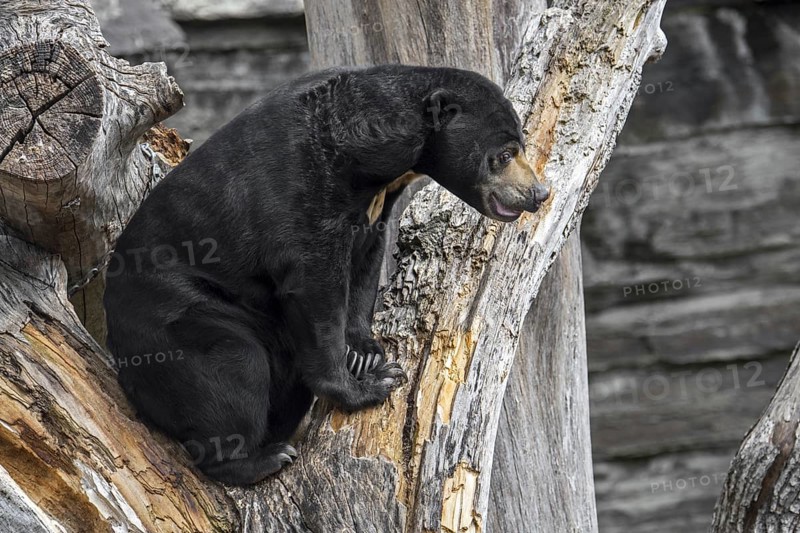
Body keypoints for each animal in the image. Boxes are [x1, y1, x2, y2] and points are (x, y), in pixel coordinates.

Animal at [103, 64, 550, 486]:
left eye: (519, 148)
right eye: (505, 154)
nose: (538, 194)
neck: (368, 156)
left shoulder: (374, 208)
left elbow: (366, 265)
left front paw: (365, 351)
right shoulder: (301, 190)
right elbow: (314, 285)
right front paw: (375, 383)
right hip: (177, 315)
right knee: (231, 366)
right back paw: (262, 459)